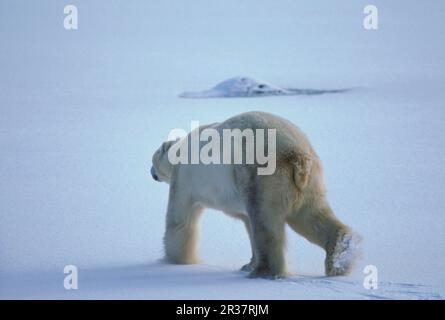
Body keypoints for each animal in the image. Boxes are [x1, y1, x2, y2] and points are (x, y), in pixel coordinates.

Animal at [151, 112, 360, 278]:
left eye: (153, 160)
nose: (151, 172)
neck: (179, 150)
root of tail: (297, 154)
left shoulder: (184, 180)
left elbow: (180, 220)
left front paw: (173, 259)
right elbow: (247, 222)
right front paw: (248, 263)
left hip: (261, 175)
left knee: (266, 223)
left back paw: (263, 271)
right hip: (310, 182)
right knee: (311, 215)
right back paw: (340, 255)